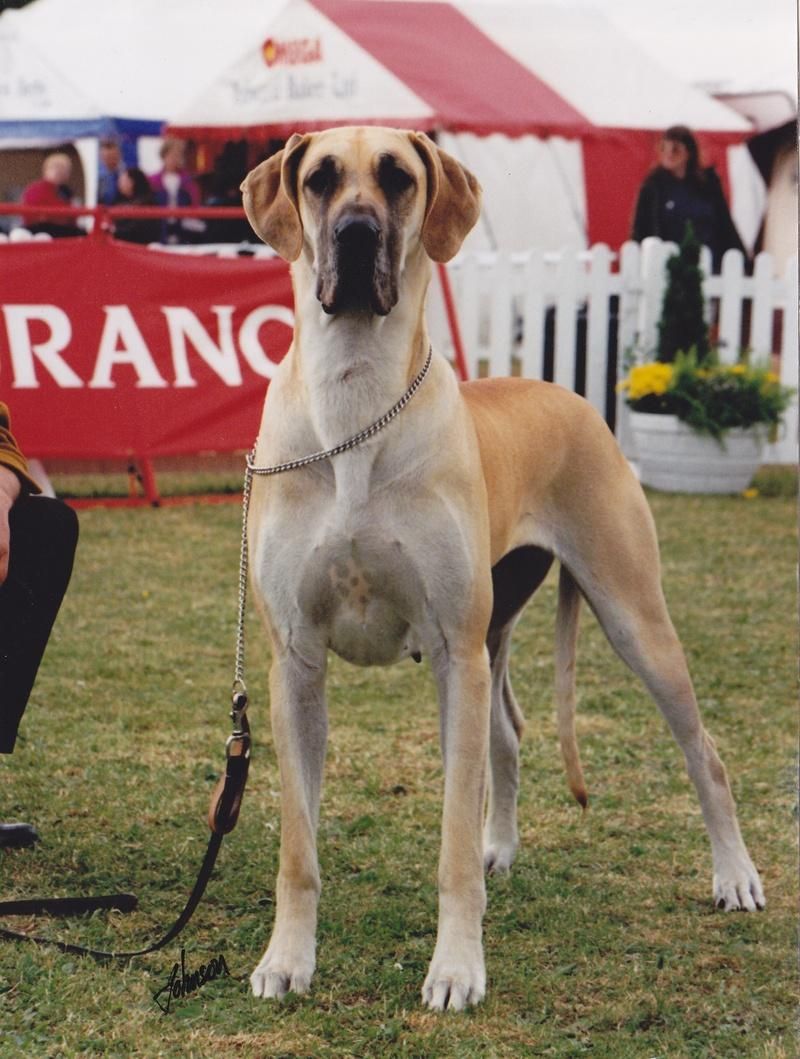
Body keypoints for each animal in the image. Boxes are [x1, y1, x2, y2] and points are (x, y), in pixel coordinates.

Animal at [239, 126, 764, 1011]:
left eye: (397, 177)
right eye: (319, 179)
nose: (356, 234)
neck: (355, 401)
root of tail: (577, 396)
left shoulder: (453, 650)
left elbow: (451, 839)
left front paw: (456, 968)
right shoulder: (297, 664)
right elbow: (298, 848)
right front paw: (288, 958)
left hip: (627, 618)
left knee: (705, 752)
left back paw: (735, 875)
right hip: (493, 637)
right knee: (511, 735)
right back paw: (504, 847)